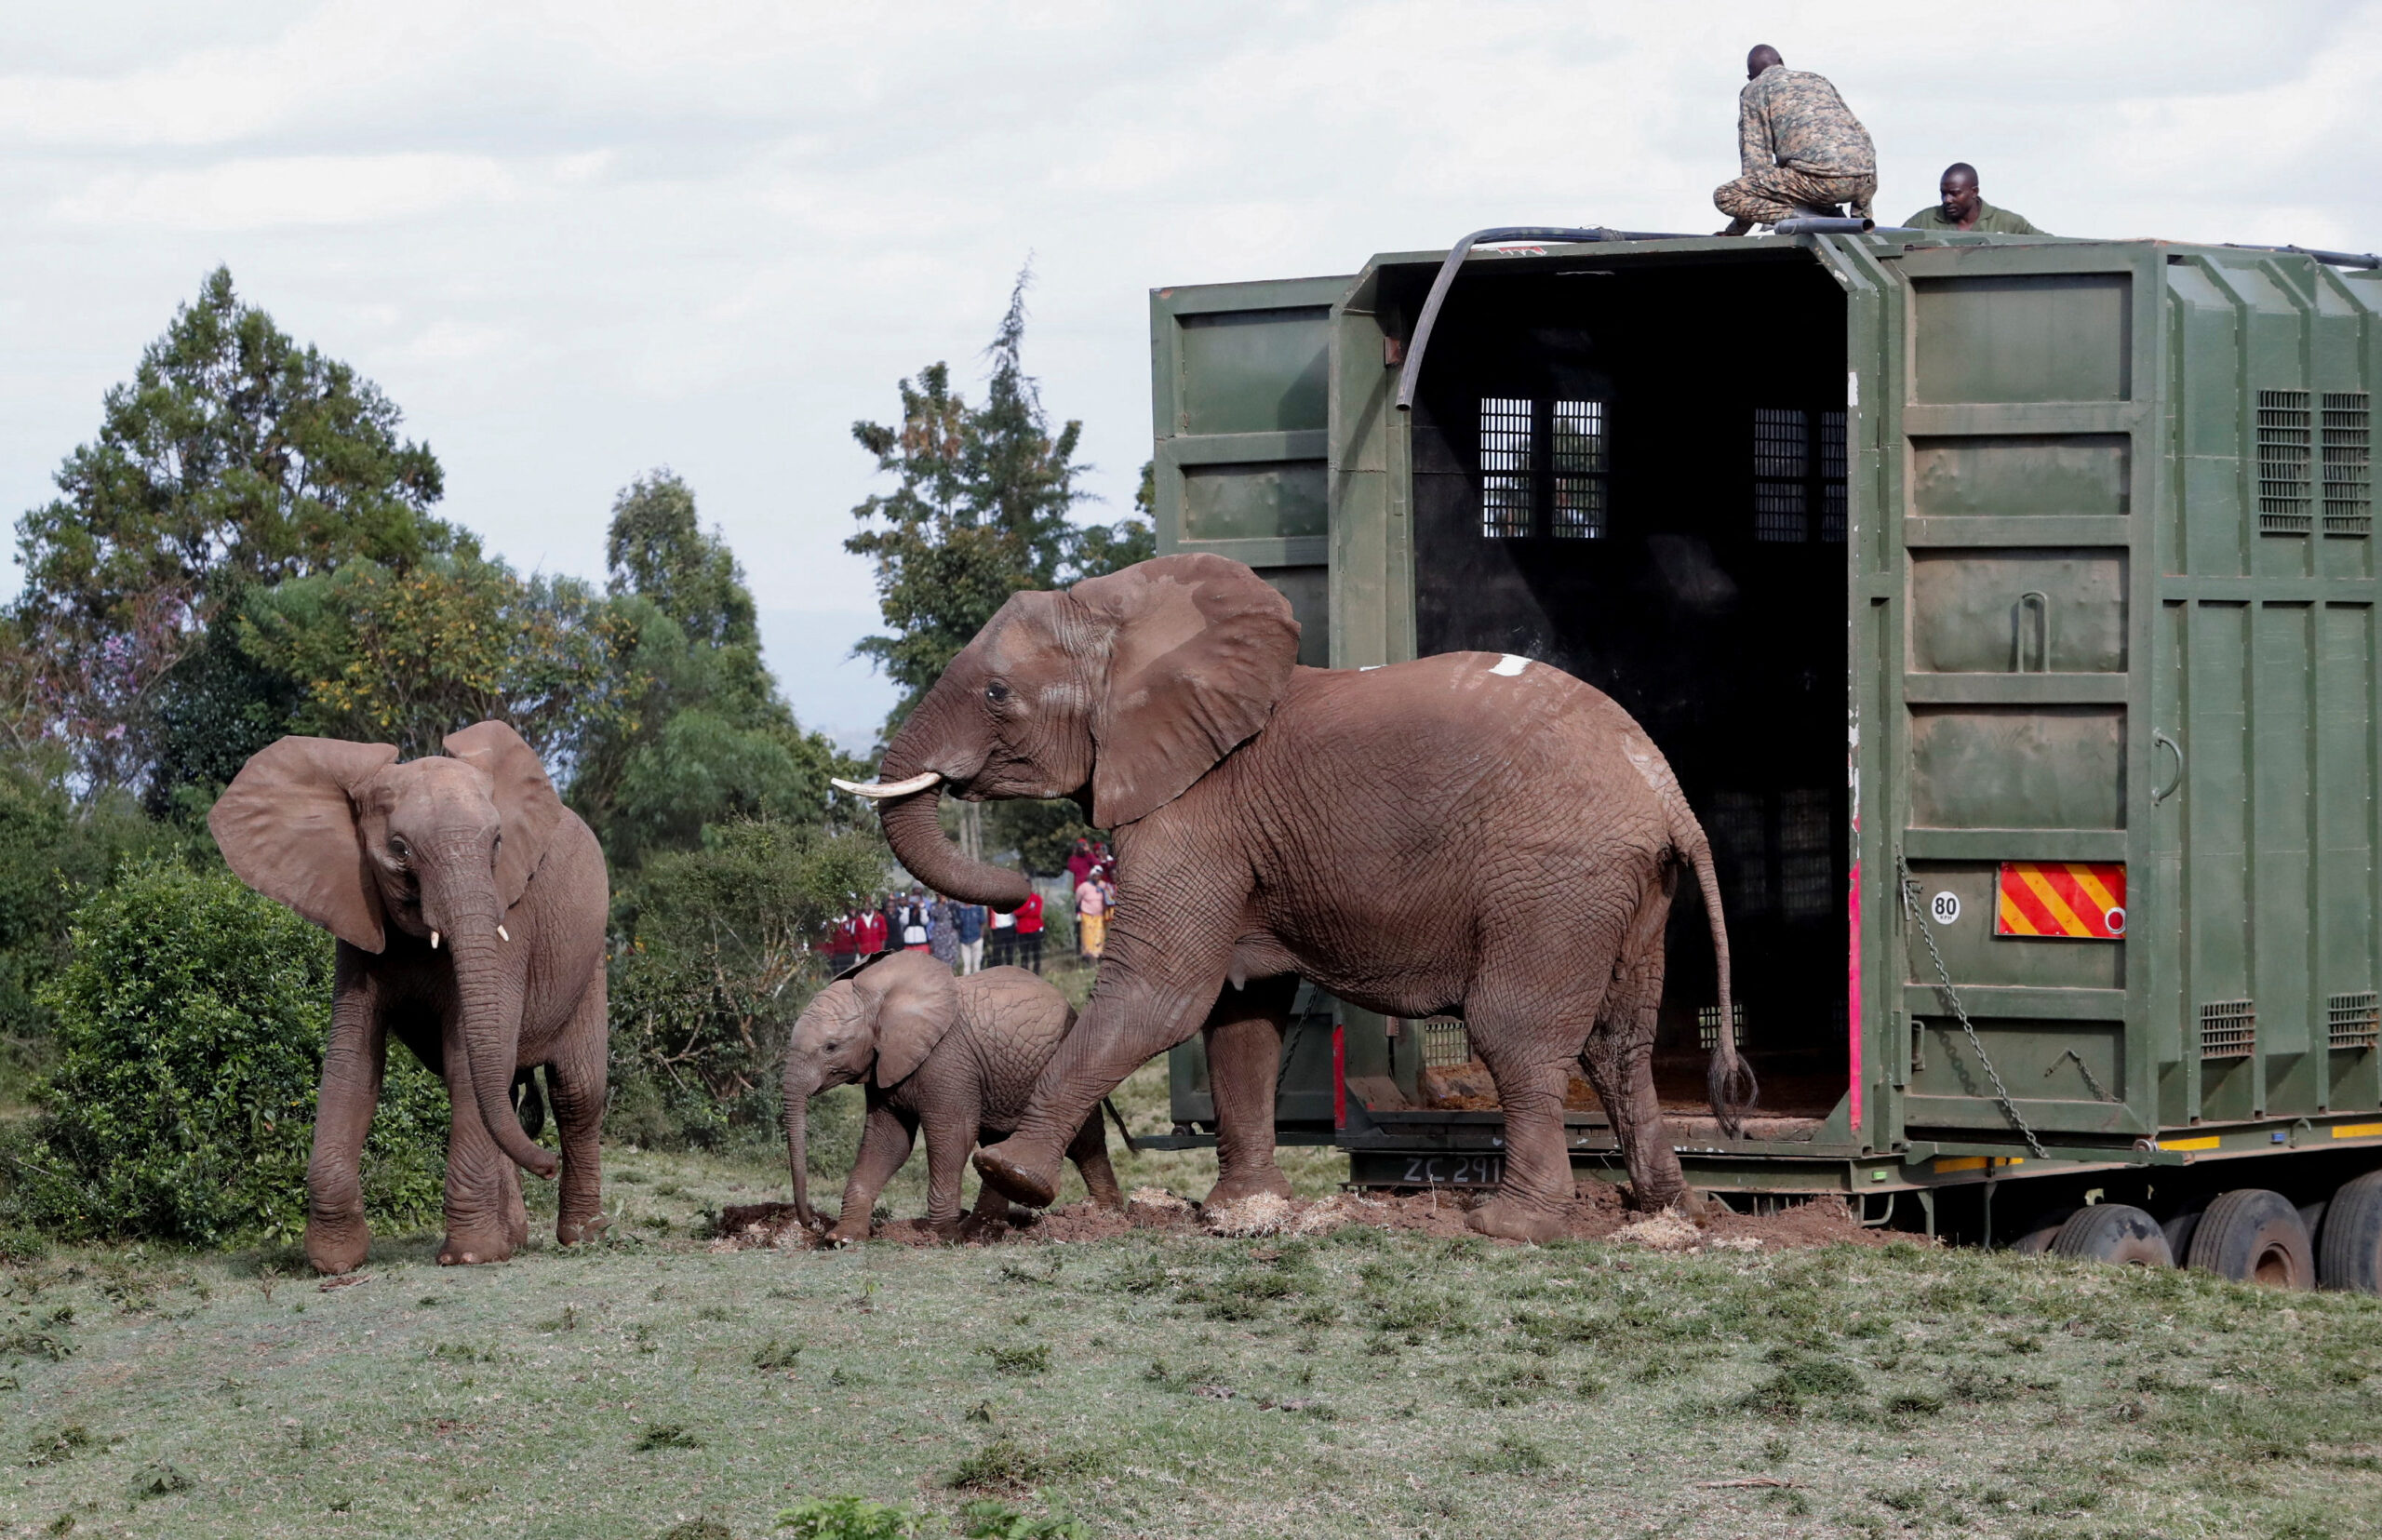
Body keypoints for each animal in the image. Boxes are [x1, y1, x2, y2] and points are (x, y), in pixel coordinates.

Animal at [209, 721, 609, 1274]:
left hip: (590, 963)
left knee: (577, 1093)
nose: (545, 1166)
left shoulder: (510, 921)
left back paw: (582, 1237)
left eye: (498, 843)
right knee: (506, 1090)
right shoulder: (355, 914)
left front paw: (467, 1256)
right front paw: (336, 1263)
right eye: (400, 850)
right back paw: (515, 1241)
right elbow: (352, 1063)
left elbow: (466, 1062)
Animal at [784, 950, 1122, 1245]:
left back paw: (1104, 1216)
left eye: (831, 1047)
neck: (882, 996)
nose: (813, 1223)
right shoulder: (885, 1066)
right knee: (996, 1144)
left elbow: (951, 1136)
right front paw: (842, 1239)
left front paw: (943, 1237)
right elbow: (888, 1142)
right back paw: (981, 1230)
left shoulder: (947, 1060)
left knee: (1085, 1140)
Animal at [833, 553, 1751, 1242]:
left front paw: (1011, 1175)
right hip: (1627, 888)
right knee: (1619, 1043)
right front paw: (1240, 1210)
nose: (1027, 889)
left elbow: (1162, 992)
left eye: (996, 694)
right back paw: (1676, 1211)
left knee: (1517, 1034)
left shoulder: (1194, 809)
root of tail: (1664, 790)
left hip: (1554, 879)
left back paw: (1512, 1225)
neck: (1125, 619)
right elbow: (1241, 1011)